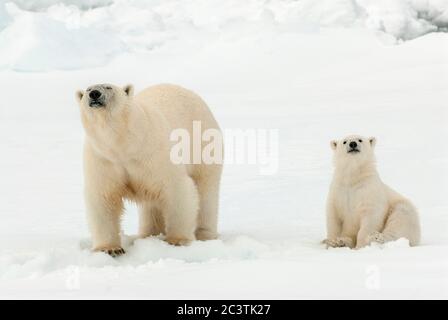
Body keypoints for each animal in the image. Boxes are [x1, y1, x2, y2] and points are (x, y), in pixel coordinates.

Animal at [78, 83, 224, 258]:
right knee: (151, 205)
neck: (123, 145)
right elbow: (103, 198)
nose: (94, 94)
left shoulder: (154, 153)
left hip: (203, 145)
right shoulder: (103, 159)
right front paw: (110, 249)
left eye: (108, 87)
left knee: (206, 191)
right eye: (87, 89)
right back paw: (148, 234)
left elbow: (177, 189)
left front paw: (177, 240)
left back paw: (205, 235)